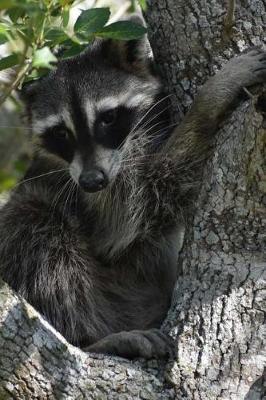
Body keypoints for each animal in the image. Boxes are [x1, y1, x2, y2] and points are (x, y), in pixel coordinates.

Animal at [0, 28, 266, 360]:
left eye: (108, 117)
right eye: (61, 132)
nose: (92, 181)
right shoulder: (82, 193)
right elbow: (135, 208)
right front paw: (210, 100)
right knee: (33, 228)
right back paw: (94, 340)